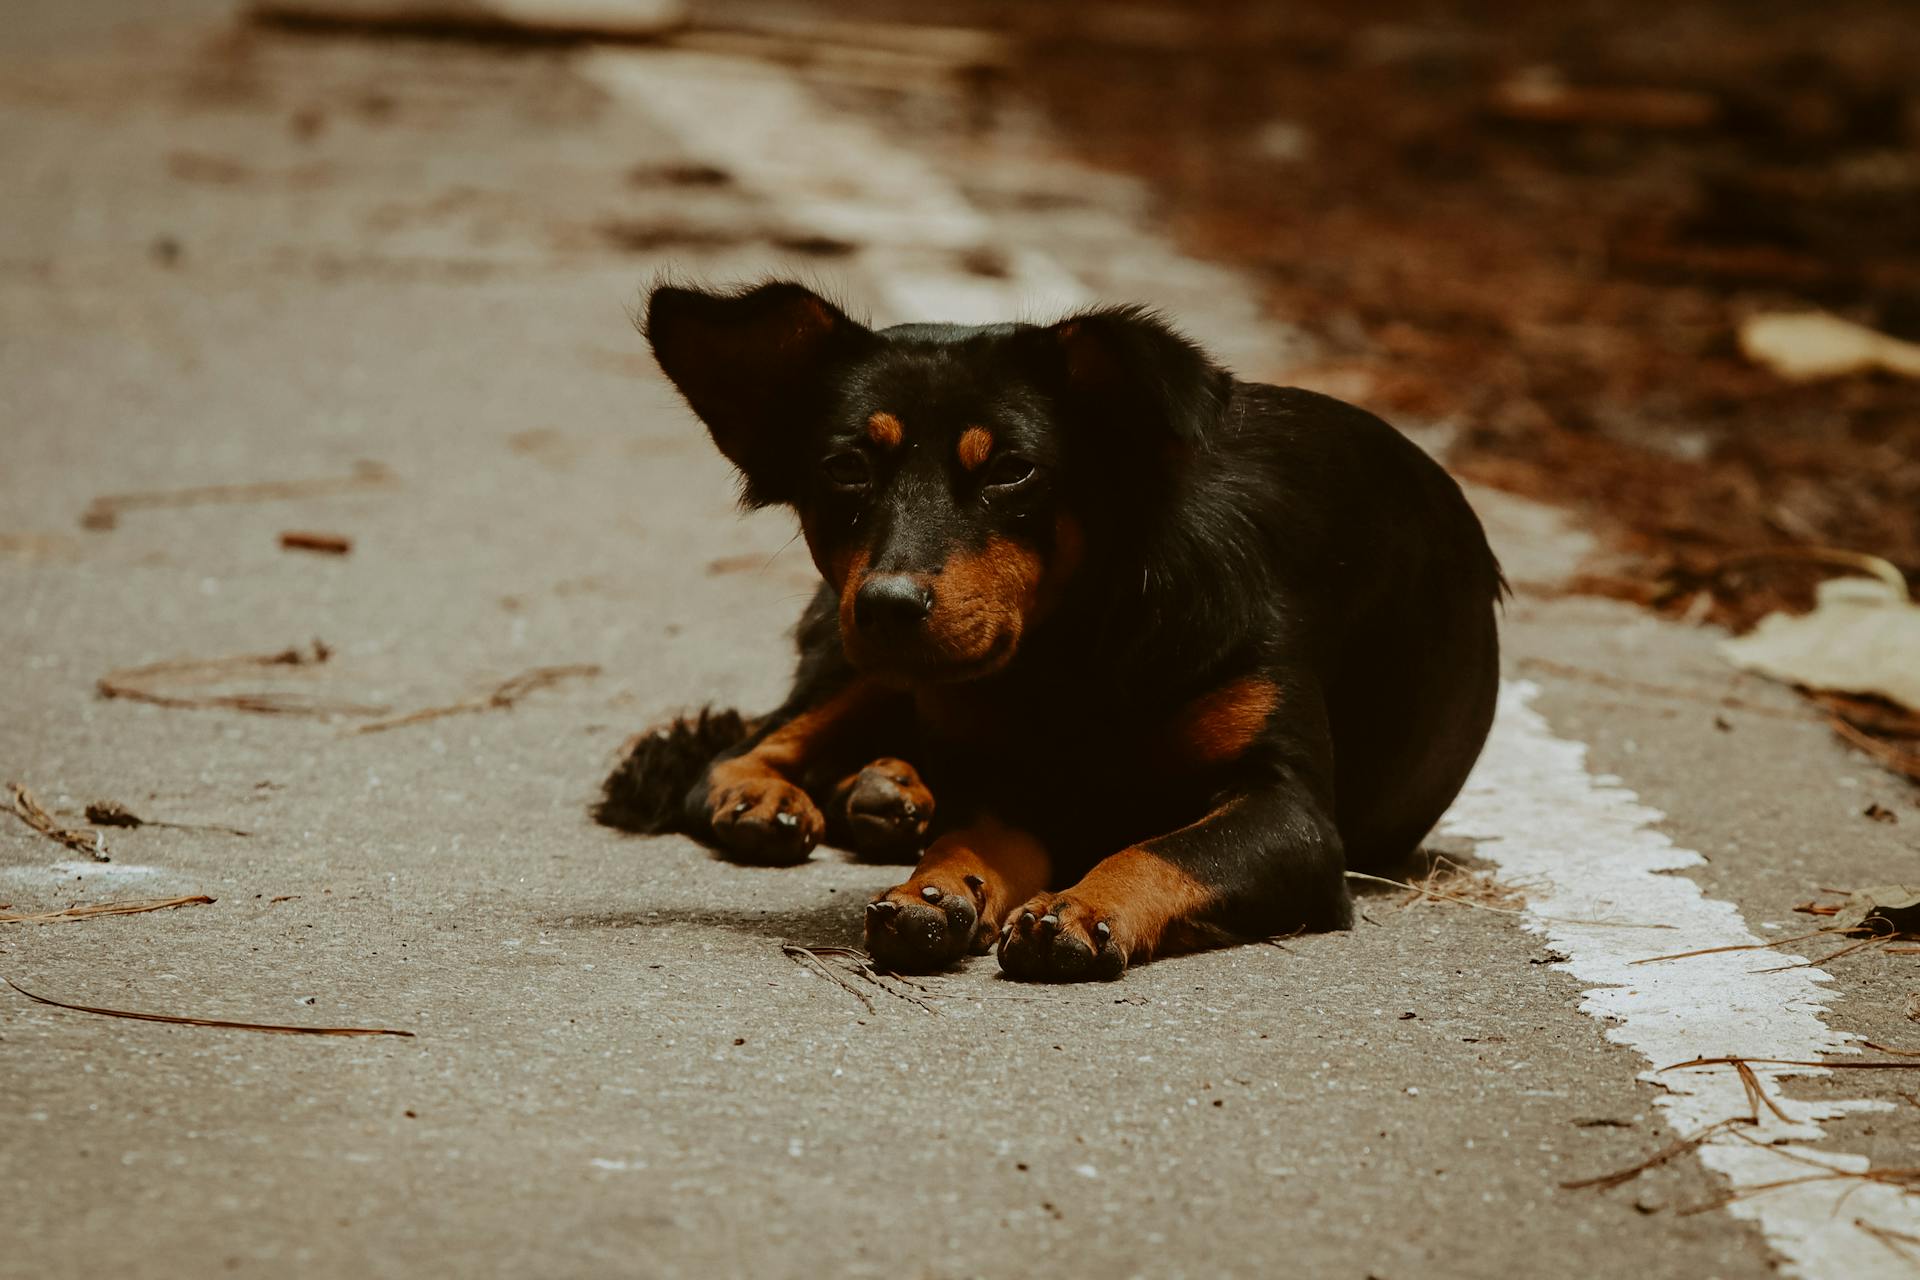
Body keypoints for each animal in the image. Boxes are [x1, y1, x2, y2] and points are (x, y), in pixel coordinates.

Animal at [591, 280, 1505, 982]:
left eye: (1011, 470)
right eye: (845, 468)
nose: (888, 603)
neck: (1074, 652)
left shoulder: (1295, 818)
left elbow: (1165, 850)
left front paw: (1082, 905)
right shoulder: (1018, 790)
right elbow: (974, 837)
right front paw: (938, 888)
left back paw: (884, 791)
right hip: (861, 661)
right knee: (737, 752)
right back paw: (787, 795)